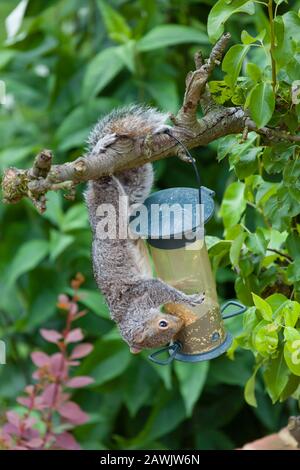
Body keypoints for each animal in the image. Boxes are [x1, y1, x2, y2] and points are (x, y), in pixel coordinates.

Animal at [85, 103, 205, 352]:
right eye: (164, 327)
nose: (179, 323)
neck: (132, 315)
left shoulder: (145, 292)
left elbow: (165, 289)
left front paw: (189, 297)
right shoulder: (147, 291)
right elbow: (167, 287)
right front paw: (188, 292)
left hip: (111, 194)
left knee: (104, 175)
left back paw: (103, 148)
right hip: (129, 192)